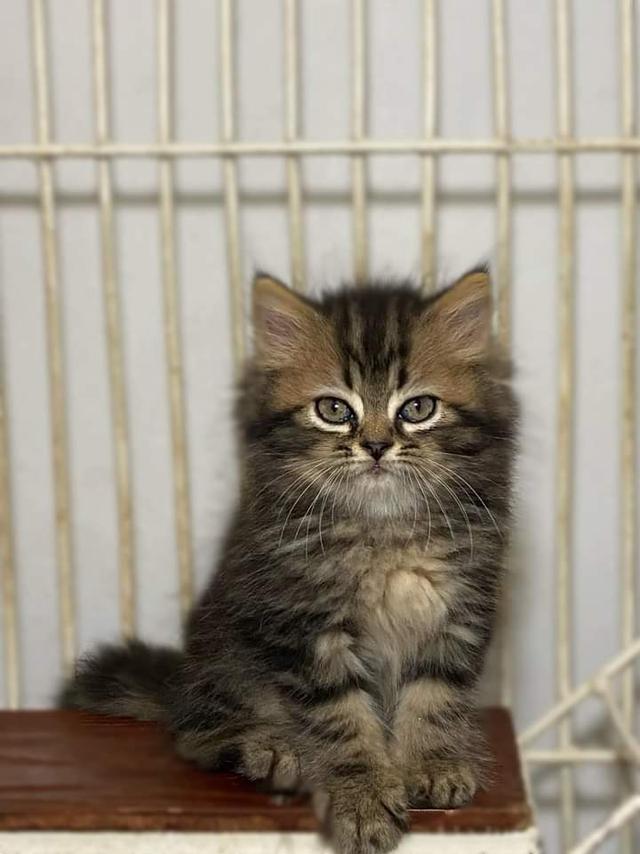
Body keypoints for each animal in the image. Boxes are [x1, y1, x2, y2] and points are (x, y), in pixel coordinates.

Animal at [62, 270, 516, 854]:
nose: (375, 446)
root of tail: (180, 682)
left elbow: (434, 697)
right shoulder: (303, 624)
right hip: (225, 658)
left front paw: (434, 763)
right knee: (195, 733)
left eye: (417, 409)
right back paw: (272, 750)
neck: (384, 530)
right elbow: (342, 720)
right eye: (334, 410)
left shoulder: (456, 612)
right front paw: (363, 799)